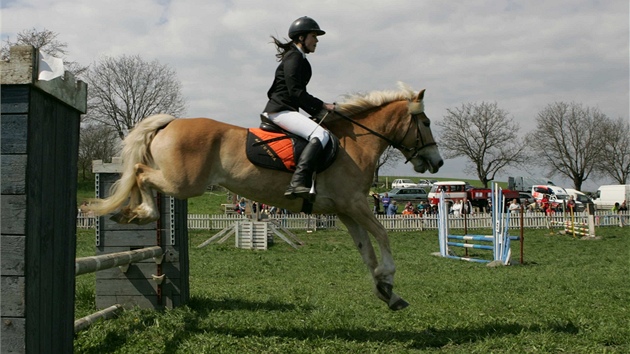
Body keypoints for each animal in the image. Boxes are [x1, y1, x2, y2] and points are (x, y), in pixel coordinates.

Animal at [90, 83, 444, 310]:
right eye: (426, 122)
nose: (437, 162)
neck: (354, 144)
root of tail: (171, 123)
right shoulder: (356, 204)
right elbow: (383, 235)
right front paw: (388, 278)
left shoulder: (346, 210)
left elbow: (367, 252)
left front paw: (387, 293)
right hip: (182, 184)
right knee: (139, 172)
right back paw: (139, 212)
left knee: (140, 173)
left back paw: (131, 213)